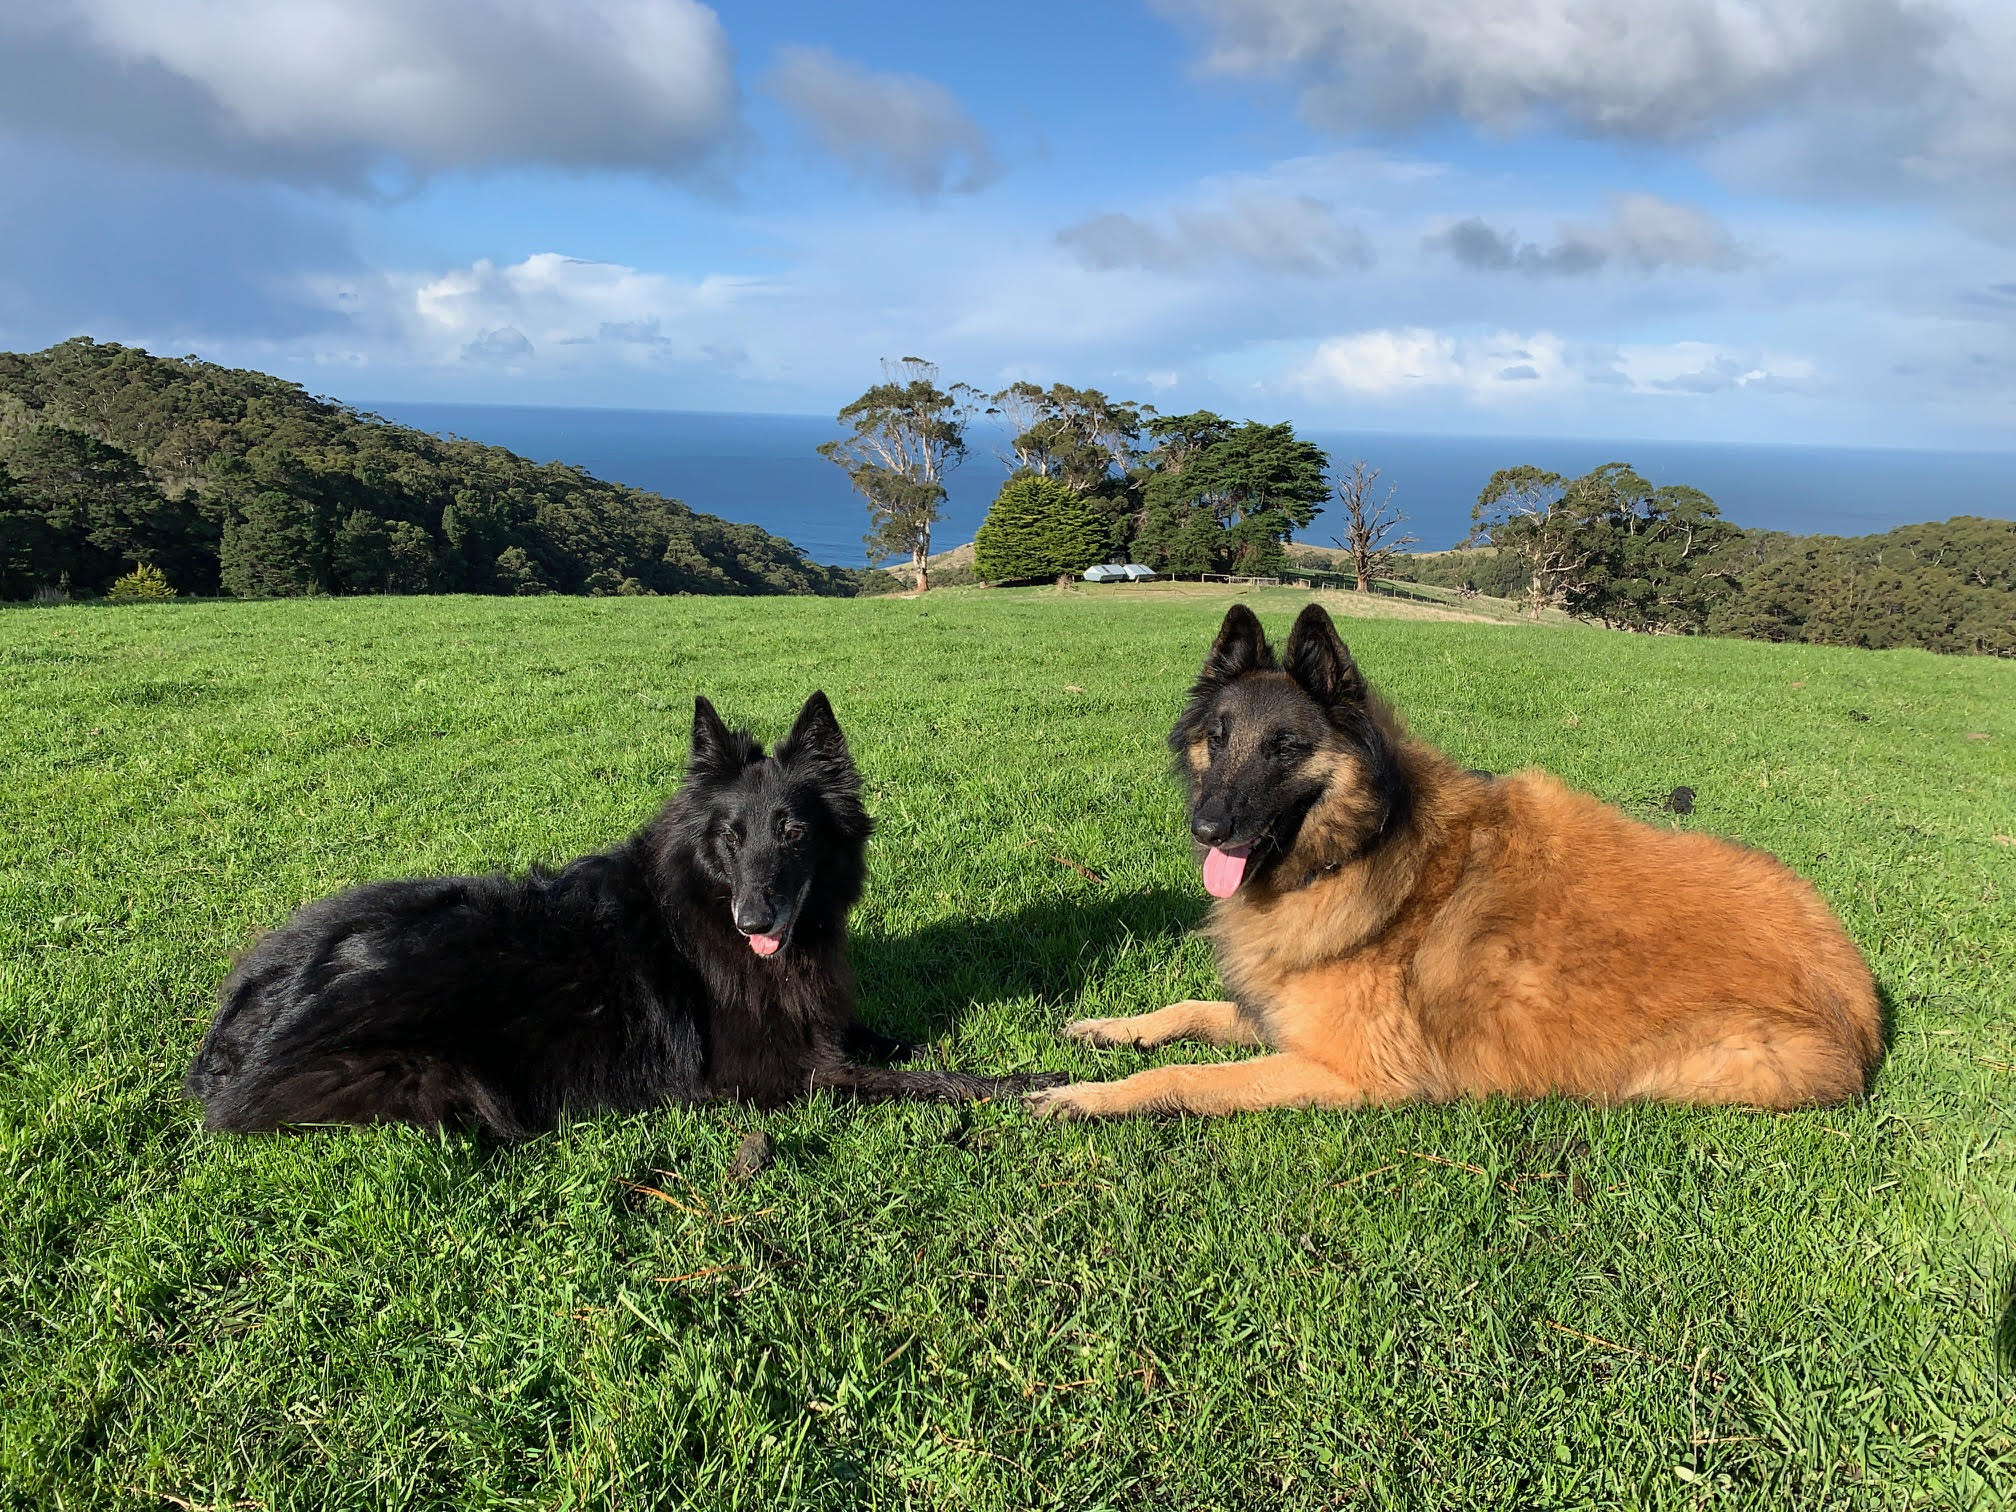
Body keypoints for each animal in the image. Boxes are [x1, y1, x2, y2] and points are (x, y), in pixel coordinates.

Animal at [183, 697, 1056, 1137]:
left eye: (793, 833)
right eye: (729, 837)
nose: (753, 920)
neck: (702, 912)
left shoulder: (820, 1021)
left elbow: (896, 1043)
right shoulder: (773, 1075)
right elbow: (919, 1083)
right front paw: (1025, 1087)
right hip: (425, 1071)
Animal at [1032, 608, 1878, 1128]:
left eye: (1285, 747)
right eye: (1218, 735)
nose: (1207, 827)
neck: (1356, 850)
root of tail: (1862, 1002)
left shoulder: (1348, 1071)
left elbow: (1187, 1078)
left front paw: (1087, 1096)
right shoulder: (1283, 1013)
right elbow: (1189, 1012)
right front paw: (1112, 1028)